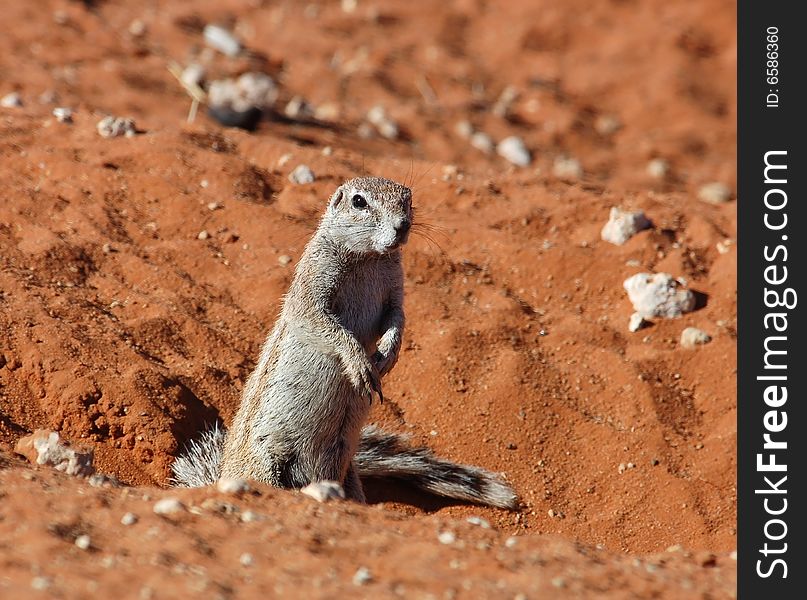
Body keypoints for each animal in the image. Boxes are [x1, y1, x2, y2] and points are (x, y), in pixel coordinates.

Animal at [174, 176, 520, 508]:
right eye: (359, 201)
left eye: (408, 199)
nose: (403, 225)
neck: (368, 259)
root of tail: (223, 475)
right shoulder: (312, 287)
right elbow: (325, 324)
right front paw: (360, 364)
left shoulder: (395, 293)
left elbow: (397, 319)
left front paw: (388, 353)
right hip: (265, 464)